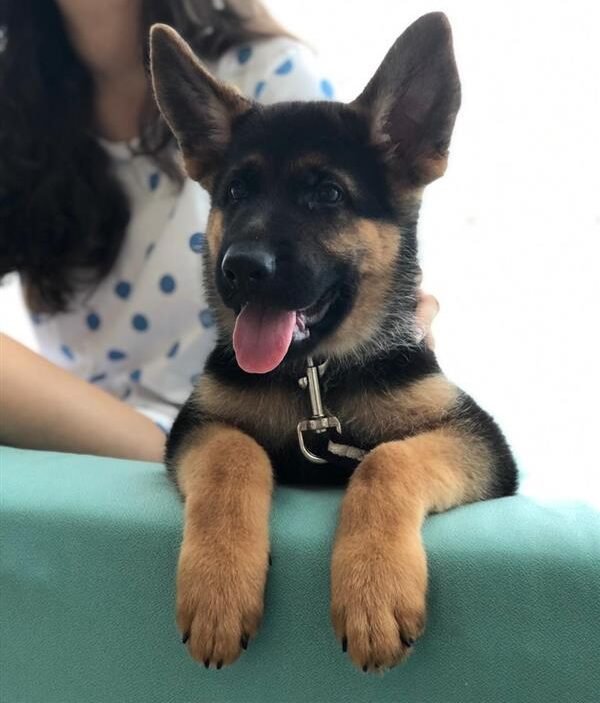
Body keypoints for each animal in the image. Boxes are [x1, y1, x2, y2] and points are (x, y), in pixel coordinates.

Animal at [149, 12, 517, 673]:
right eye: (235, 193)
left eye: (327, 194)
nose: (240, 268)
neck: (316, 378)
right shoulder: (197, 426)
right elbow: (233, 454)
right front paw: (218, 588)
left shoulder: (479, 441)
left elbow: (384, 460)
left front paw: (373, 591)